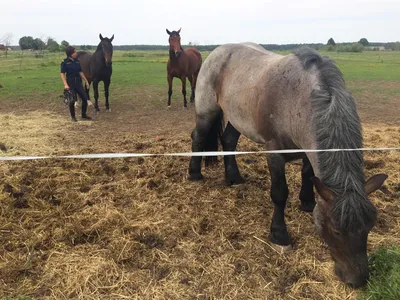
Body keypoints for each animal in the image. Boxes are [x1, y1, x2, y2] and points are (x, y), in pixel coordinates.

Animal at [189, 42, 390, 288]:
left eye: (370, 226)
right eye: (336, 230)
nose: (358, 279)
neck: (298, 100)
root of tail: (217, 51)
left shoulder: (308, 148)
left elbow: (307, 174)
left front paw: (307, 201)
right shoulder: (275, 153)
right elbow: (279, 193)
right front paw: (279, 235)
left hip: (237, 118)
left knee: (228, 141)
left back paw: (233, 178)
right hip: (207, 110)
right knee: (198, 136)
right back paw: (194, 173)